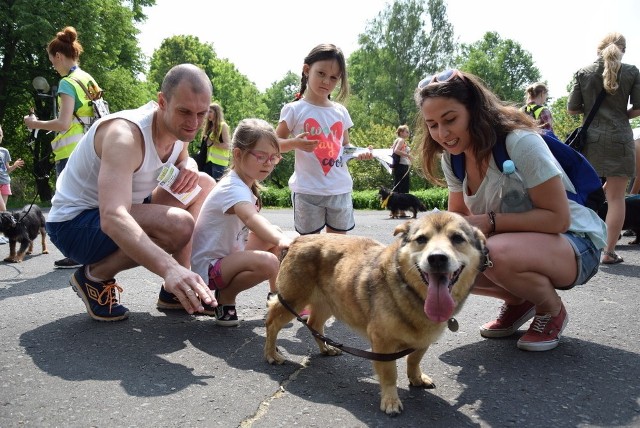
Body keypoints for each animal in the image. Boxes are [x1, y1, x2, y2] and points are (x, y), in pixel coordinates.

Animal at [262, 211, 488, 414]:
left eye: (457, 238)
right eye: (421, 239)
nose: (437, 258)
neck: (414, 295)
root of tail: (298, 239)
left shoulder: (423, 340)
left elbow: (414, 360)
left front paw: (416, 378)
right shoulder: (383, 344)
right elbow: (389, 374)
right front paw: (390, 400)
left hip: (329, 303)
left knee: (314, 323)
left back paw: (326, 348)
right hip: (293, 300)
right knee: (272, 323)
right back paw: (272, 354)